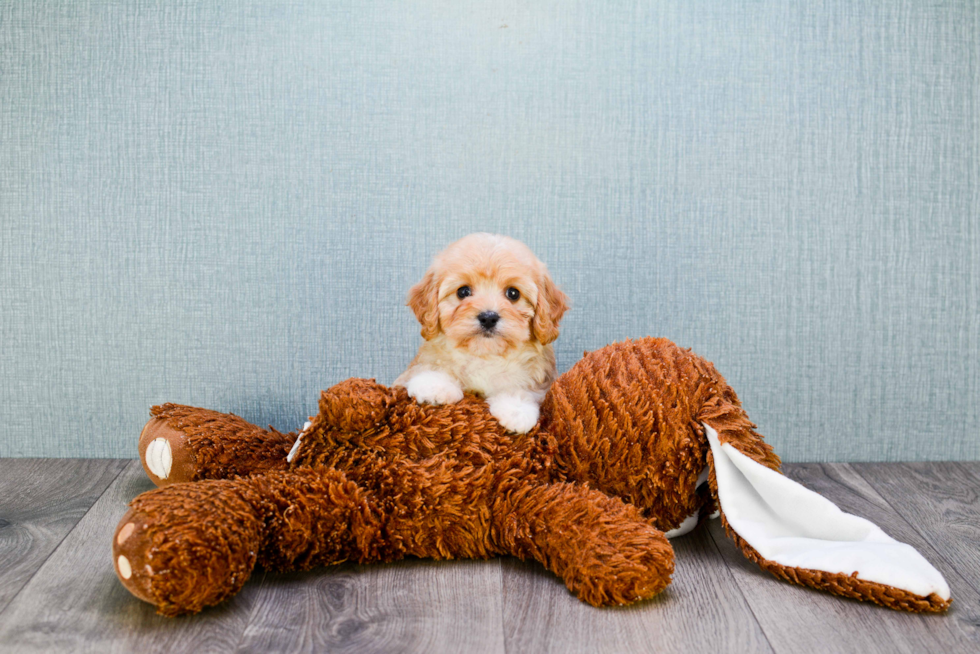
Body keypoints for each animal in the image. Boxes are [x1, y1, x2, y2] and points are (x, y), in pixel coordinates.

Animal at [394, 233, 572, 434]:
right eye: (463, 291)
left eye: (513, 293)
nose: (488, 317)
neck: (485, 355)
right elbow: (428, 368)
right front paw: (434, 385)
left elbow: (522, 389)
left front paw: (516, 409)